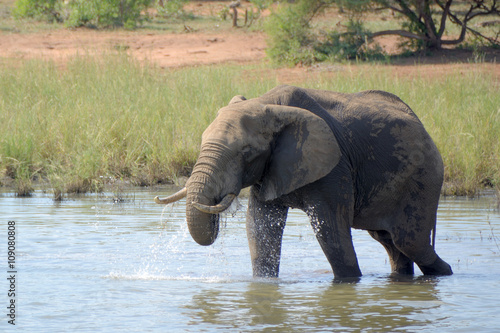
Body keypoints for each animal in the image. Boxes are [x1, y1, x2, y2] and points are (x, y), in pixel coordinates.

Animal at [156, 85, 454, 278]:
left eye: (247, 152)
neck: (268, 104)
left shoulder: (334, 166)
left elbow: (330, 230)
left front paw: (349, 283)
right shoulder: (272, 167)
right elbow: (259, 227)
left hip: (423, 179)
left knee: (409, 241)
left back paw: (445, 274)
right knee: (390, 242)